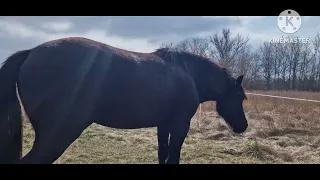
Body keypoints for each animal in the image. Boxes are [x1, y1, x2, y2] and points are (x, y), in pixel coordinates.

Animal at [0, 37, 248, 164]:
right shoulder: (179, 126)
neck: (188, 73)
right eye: (239, 97)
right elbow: (173, 156)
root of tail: (30, 52)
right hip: (57, 136)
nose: (243, 126)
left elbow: (163, 154)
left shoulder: (163, 125)